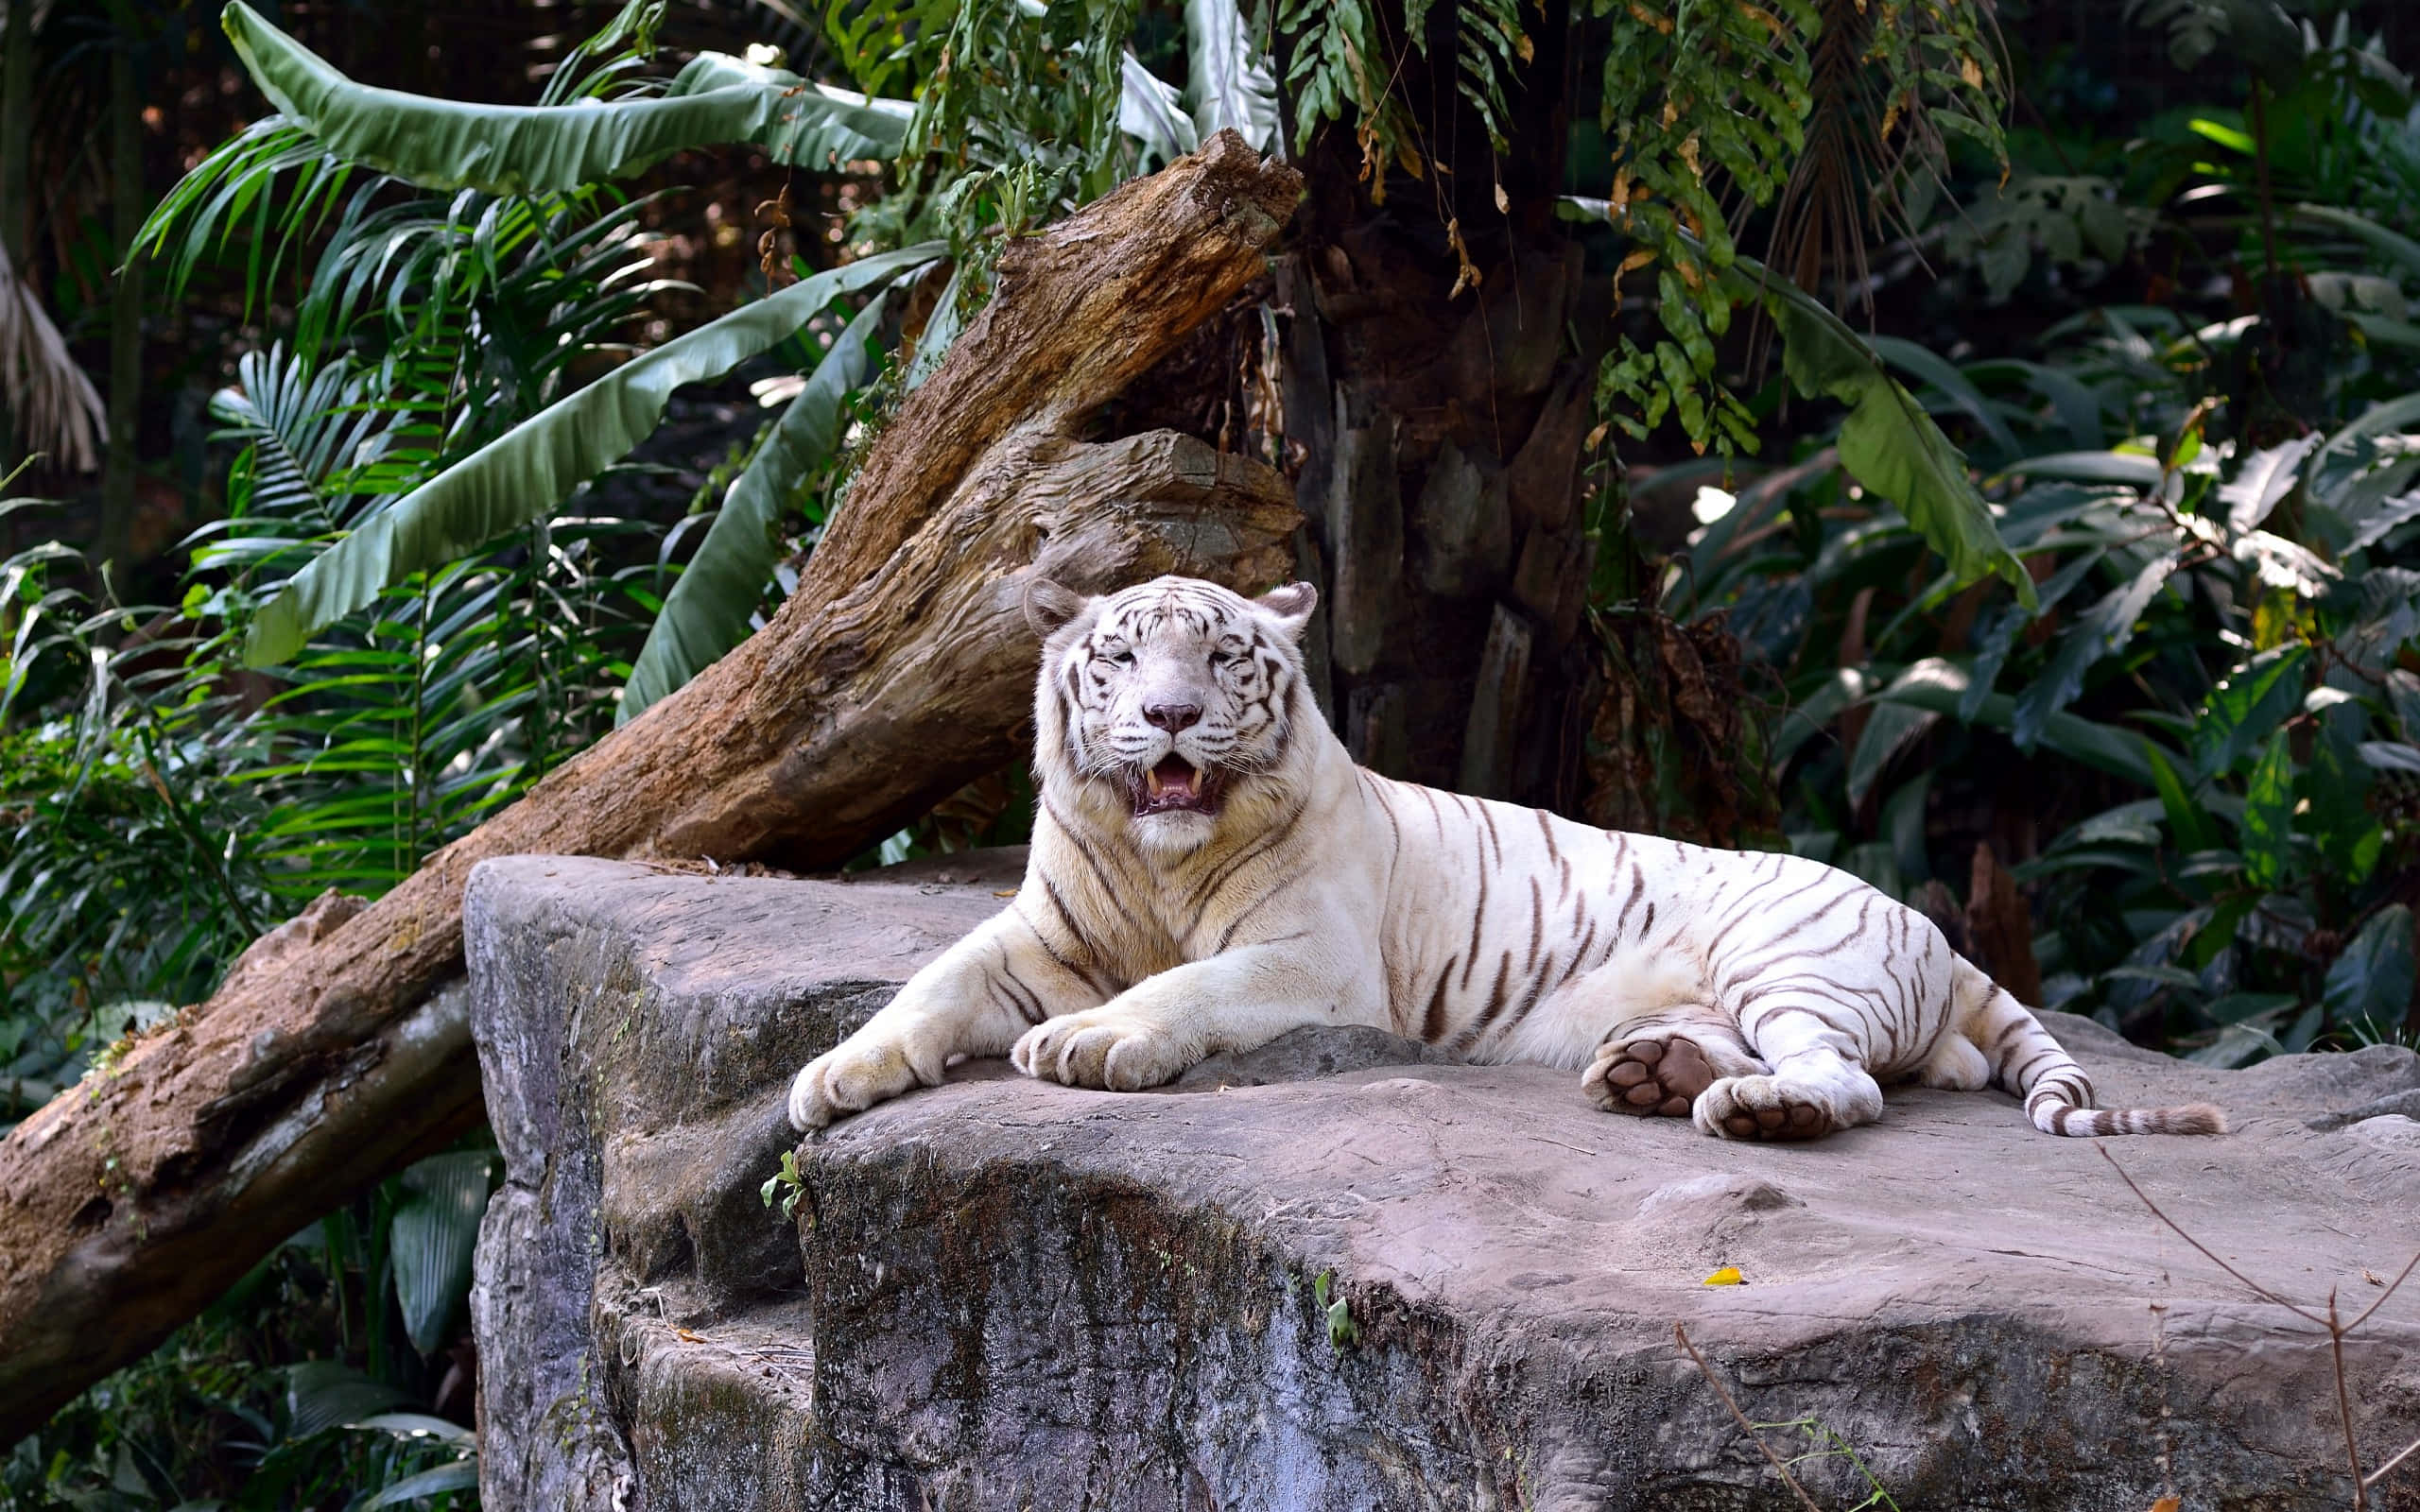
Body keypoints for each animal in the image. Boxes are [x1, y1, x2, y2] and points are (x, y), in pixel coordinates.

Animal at [786, 573, 2225, 1142]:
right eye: (1124, 657)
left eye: (1222, 658)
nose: (1174, 716)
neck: (1159, 857)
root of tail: (1938, 932)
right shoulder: (1038, 932)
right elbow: (928, 984)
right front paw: (830, 1080)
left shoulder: (1312, 960)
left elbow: (1186, 987)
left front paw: (1089, 1043)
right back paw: (1651, 1075)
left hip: (1792, 962)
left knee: (1851, 1083)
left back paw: (1743, 1112)